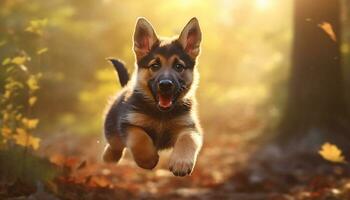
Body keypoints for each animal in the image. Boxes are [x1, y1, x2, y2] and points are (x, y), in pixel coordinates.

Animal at [102, 17, 202, 177]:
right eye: (155, 66)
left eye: (179, 67)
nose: (166, 85)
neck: (161, 114)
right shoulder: (128, 123)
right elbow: (139, 138)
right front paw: (148, 160)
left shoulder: (189, 127)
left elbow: (187, 139)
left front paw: (181, 162)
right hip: (113, 133)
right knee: (114, 146)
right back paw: (108, 159)